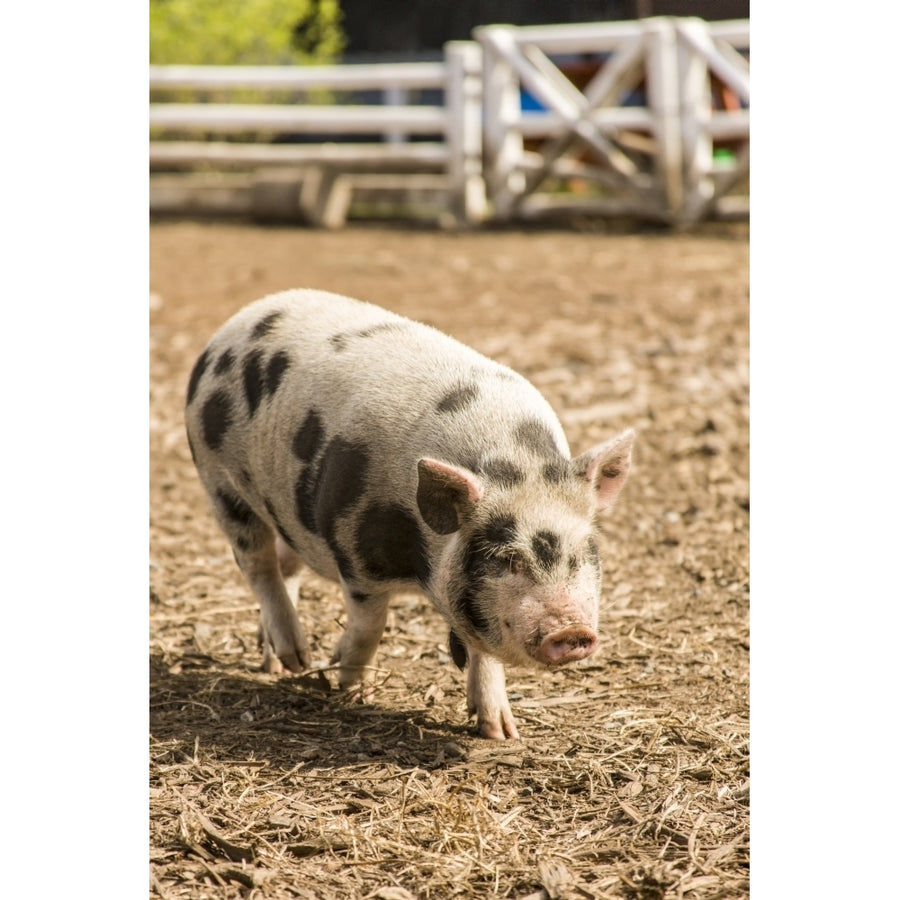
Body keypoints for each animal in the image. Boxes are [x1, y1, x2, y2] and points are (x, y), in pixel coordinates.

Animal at [183, 288, 632, 740]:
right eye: (508, 559)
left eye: (582, 556)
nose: (572, 630)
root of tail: (241, 320)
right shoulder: (354, 554)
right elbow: (371, 624)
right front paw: (350, 686)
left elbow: (483, 650)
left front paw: (501, 732)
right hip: (219, 481)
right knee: (257, 564)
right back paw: (298, 661)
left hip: (286, 508)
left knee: (285, 565)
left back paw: (278, 661)